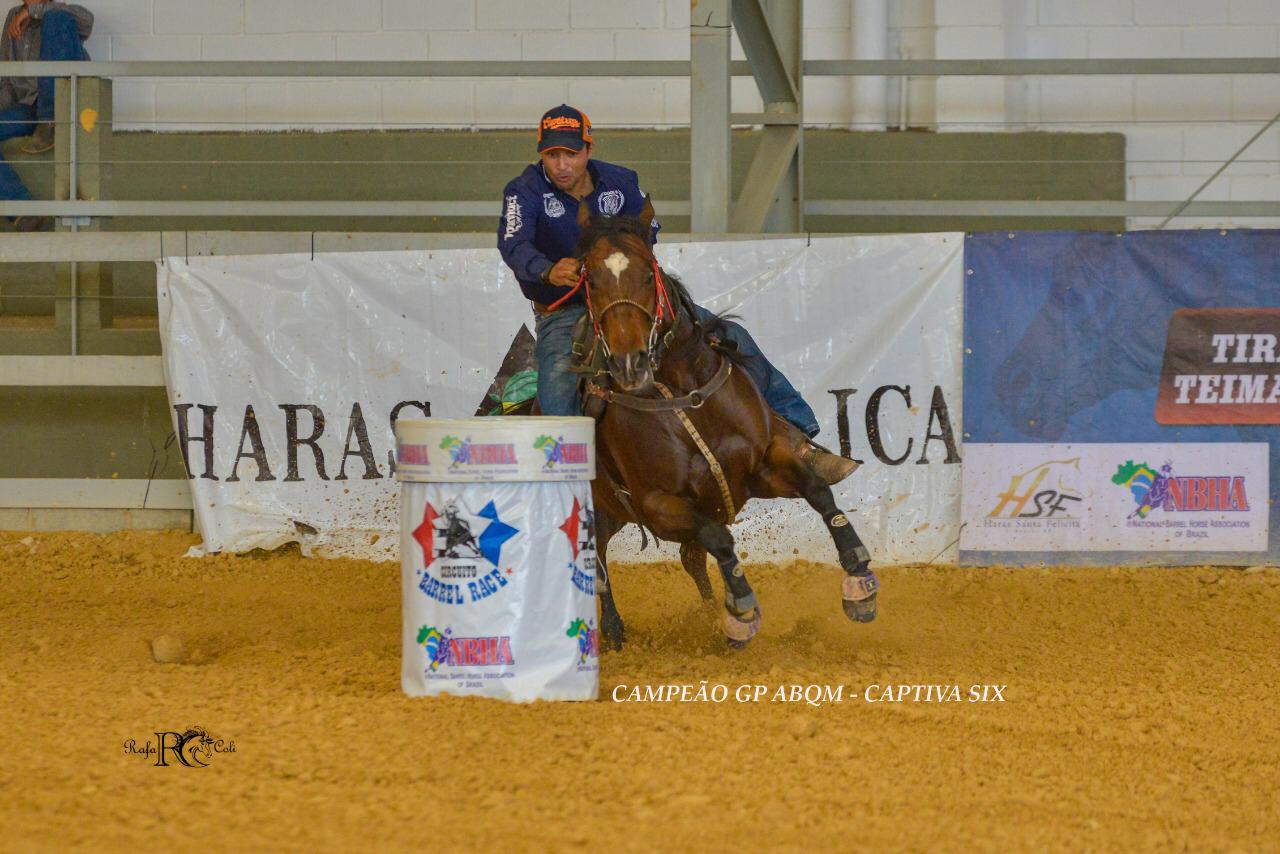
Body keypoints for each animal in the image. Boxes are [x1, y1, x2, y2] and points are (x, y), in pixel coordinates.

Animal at [565, 198, 885, 647]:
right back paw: (613, 629)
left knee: (691, 559)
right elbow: (720, 538)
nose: (630, 364)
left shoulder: (759, 465)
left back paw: (708, 612)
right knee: (599, 566)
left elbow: (818, 491)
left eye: (647, 273)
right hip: (598, 513)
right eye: (590, 282)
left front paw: (859, 582)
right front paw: (743, 610)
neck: (684, 396)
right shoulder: (658, 504)